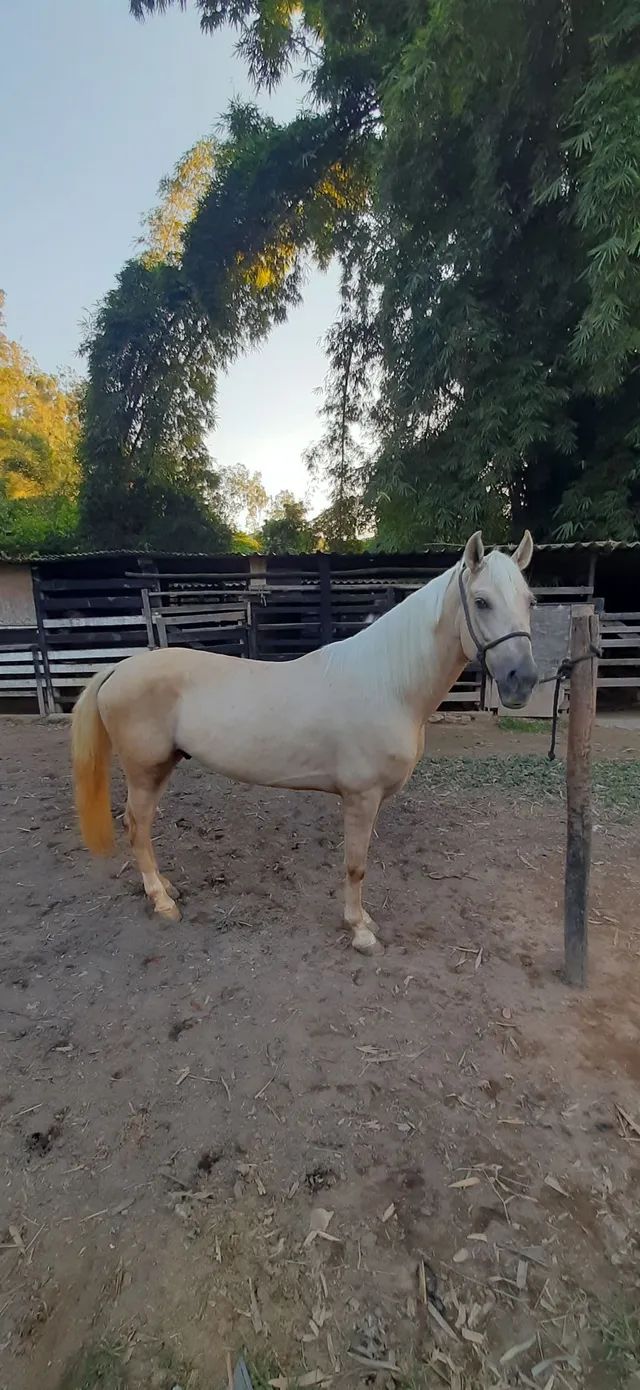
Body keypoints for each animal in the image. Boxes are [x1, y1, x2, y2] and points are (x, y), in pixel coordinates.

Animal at [72, 525, 537, 950]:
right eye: (481, 601)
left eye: (530, 601)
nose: (523, 679)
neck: (388, 683)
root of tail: (120, 667)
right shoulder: (360, 797)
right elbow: (356, 865)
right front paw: (359, 930)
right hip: (144, 770)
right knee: (136, 826)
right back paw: (162, 901)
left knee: (141, 827)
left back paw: (167, 887)